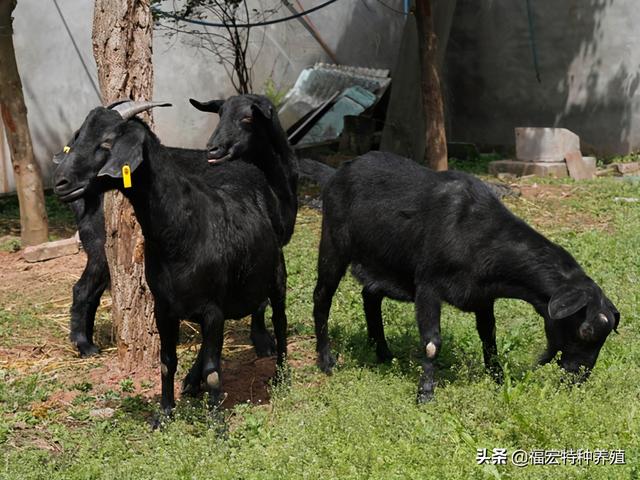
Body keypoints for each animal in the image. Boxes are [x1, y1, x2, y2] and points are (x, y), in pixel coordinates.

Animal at [55, 102, 290, 416]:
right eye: (78, 136)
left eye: (106, 142)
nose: (60, 182)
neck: (182, 232)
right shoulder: (164, 307)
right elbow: (167, 362)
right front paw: (165, 412)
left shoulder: (212, 307)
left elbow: (213, 369)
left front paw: (215, 418)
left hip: (276, 277)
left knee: (280, 320)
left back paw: (280, 375)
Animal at [312, 152, 620, 404]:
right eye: (586, 330)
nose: (579, 376)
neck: (478, 235)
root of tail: (338, 172)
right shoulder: (427, 286)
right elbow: (432, 343)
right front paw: (425, 394)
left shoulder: (482, 296)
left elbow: (489, 337)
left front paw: (497, 378)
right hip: (333, 245)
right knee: (322, 296)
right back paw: (326, 361)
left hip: (384, 264)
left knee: (370, 295)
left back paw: (384, 354)